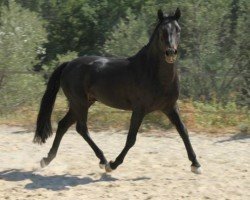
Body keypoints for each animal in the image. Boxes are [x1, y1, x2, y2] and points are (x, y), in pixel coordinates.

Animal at [33, 8, 201, 173]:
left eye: (178, 30)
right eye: (162, 31)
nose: (170, 53)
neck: (153, 74)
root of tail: (69, 64)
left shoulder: (170, 107)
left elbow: (183, 131)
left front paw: (196, 164)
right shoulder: (139, 109)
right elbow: (131, 139)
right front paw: (113, 165)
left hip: (83, 103)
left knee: (63, 125)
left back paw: (47, 159)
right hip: (79, 103)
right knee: (81, 128)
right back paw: (103, 160)